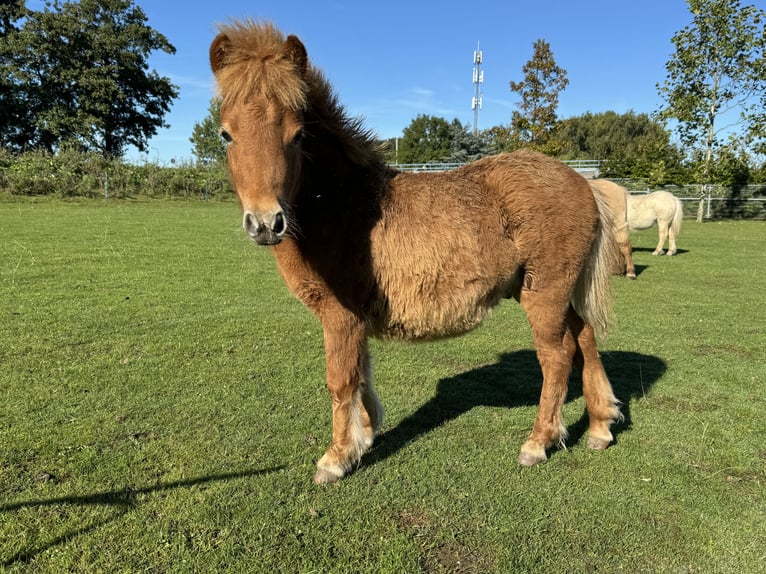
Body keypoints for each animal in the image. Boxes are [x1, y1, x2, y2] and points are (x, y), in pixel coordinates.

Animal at [208, 20, 624, 484]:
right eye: (226, 134)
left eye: (298, 135)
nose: (266, 223)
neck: (342, 203)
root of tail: (583, 182)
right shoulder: (357, 319)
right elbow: (362, 373)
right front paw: (365, 433)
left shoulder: (340, 316)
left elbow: (341, 380)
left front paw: (337, 457)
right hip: (554, 291)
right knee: (585, 337)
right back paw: (600, 426)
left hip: (545, 294)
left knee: (557, 356)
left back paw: (538, 442)